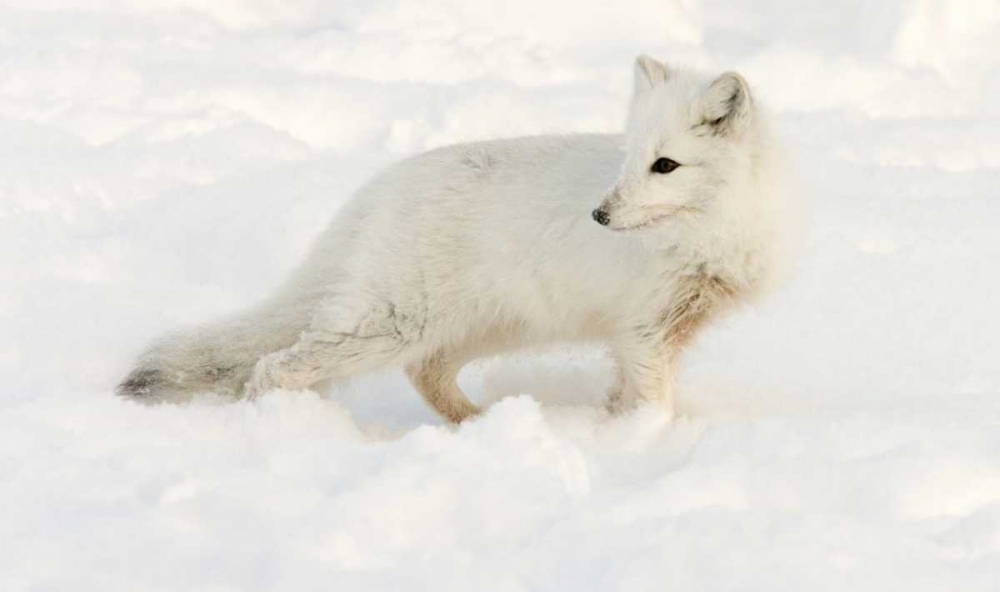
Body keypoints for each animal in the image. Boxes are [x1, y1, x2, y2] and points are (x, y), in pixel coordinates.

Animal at [118, 55, 798, 423]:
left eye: (665, 166)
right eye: (629, 161)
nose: (600, 216)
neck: (711, 233)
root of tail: (377, 189)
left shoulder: (648, 334)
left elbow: (626, 396)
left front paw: (613, 430)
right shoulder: (645, 332)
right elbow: (653, 405)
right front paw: (645, 447)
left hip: (489, 325)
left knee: (425, 373)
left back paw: (477, 424)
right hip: (391, 323)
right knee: (273, 364)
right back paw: (274, 423)